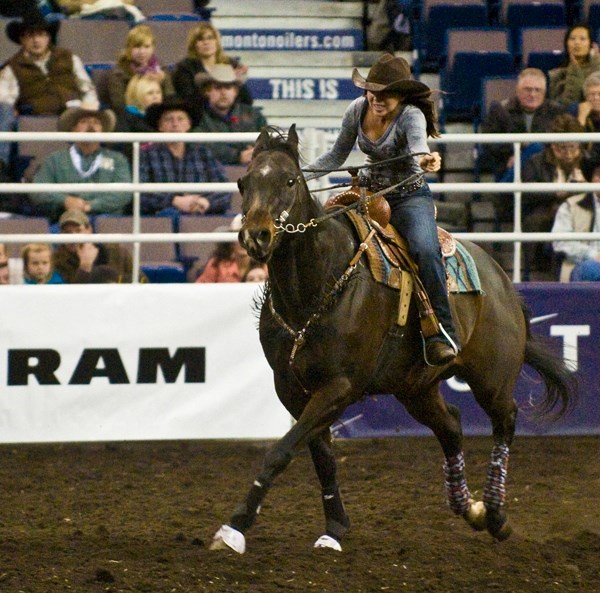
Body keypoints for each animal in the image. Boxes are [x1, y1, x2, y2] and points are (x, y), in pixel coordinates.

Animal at [210, 126, 576, 556]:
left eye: (289, 181)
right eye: (243, 182)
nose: (256, 235)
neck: (318, 284)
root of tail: (502, 281)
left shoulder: (341, 386)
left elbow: (281, 450)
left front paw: (235, 526)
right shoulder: (291, 388)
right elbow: (320, 455)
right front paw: (334, 528)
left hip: (492, 378)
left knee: (505, 422)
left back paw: (497, 515)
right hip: (415, 387)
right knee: (451, 425)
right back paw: (470, 508)